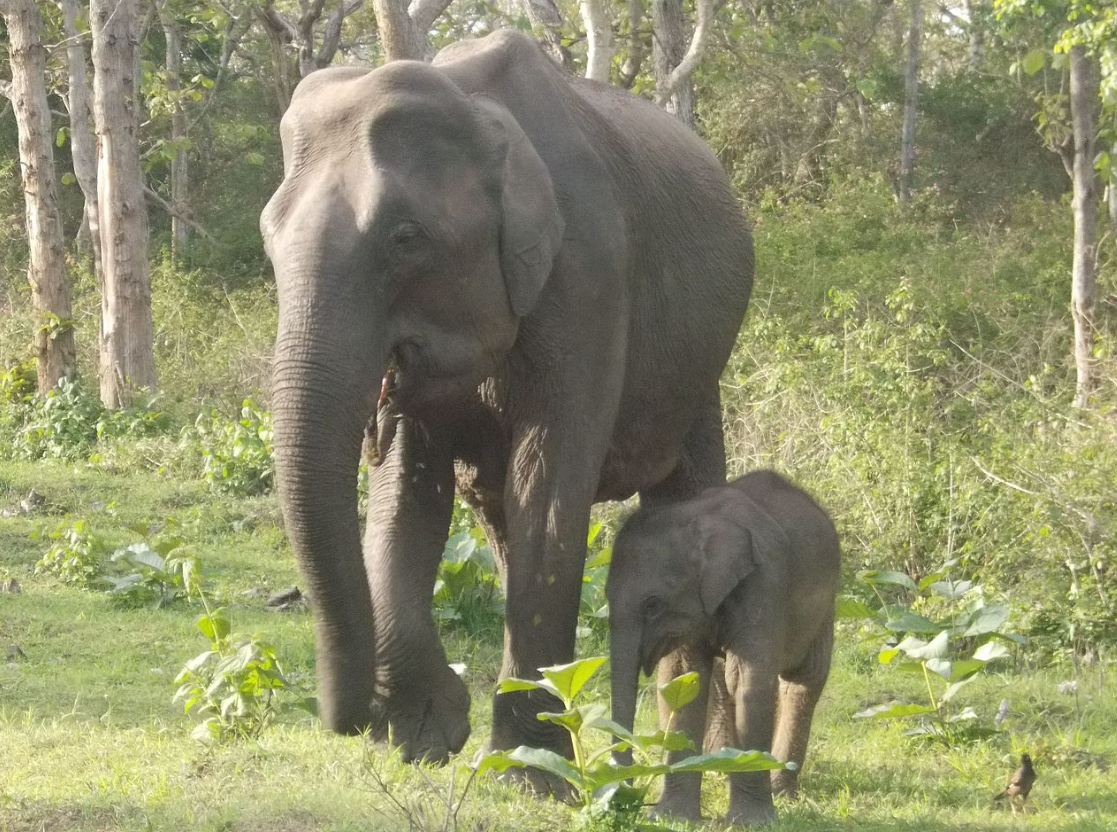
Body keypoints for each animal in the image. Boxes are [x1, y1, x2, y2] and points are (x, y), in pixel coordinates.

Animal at [258, 30, 755, 763]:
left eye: (405, 239)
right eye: (269, 237)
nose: (352, 719)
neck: (475, 107)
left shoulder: (591, 276)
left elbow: (547, 493)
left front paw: (528, 767)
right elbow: (408, 494)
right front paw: (424, 736)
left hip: (700, 364)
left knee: (684, 494)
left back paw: (701, 751)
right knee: (495, 513)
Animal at [607, 471, 835, 821]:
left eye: (653, 605)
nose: (622, 795)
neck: (694, 518)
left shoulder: (764, 583)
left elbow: (748, 683)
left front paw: (752, 822)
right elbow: (682, 680)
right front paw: (670, 817)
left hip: (826, 604)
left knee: (802, 679)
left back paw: (780, 789)